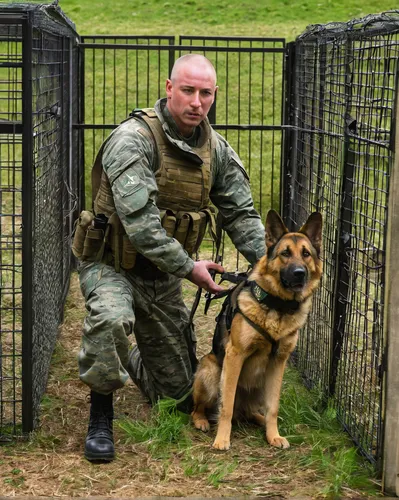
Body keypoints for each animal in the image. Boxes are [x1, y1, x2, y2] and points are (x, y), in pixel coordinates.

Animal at [192, 209, 324, 452]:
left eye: (306, 254)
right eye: (285, 253)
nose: (299, 273)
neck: (278, 307)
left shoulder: (278, 363)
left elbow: (273, 407)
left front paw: (273, 435)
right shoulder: (235, 356)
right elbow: (226, 405)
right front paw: (222, 439)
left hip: (262, 384)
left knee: (254, 411)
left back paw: (261, 421)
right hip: (211, 371)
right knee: (202, 408)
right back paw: (202, 421)